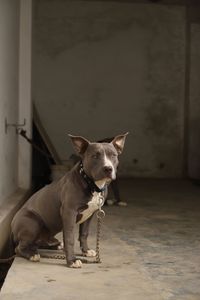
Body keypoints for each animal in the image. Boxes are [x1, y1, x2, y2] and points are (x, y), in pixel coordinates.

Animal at [11, 133, 127, 268]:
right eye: (95, 156)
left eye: (113, 155)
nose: (108, 168)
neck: (91, 183)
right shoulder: (69, 212)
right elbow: (70, 238)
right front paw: (72, 260)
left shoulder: (90, 214)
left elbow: (84, 234)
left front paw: (86, 251)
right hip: (32, 222)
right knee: (19, 248)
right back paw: (32, 254)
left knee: (37, 242)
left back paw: (55, 246)